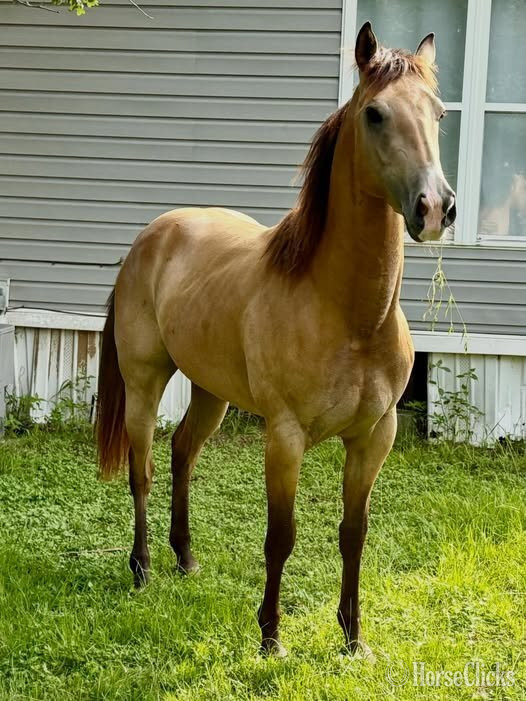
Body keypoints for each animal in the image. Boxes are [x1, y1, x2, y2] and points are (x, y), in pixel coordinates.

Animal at [96, 22, 456, 657]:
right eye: (376, 114)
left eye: (438, 113)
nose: (435, 207)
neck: (350, 317)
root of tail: (152, 235)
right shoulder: (285, 437)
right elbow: (281, 536)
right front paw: (270, 637)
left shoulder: (375, 436)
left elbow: (353, 533)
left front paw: (352, 637)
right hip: (144, 385)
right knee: (143, 470)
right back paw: (141, 568)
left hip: (211, 392)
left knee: (182, 453)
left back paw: (185, 558)